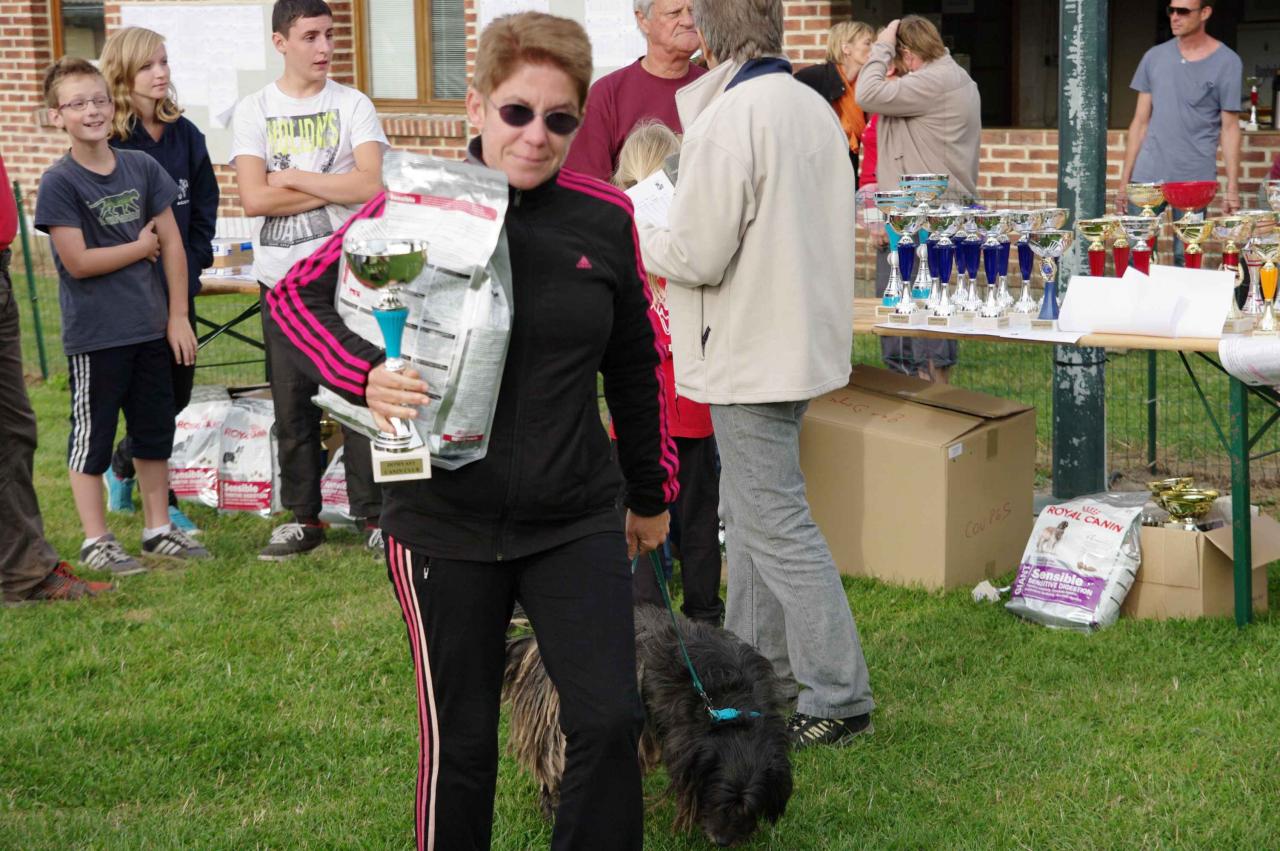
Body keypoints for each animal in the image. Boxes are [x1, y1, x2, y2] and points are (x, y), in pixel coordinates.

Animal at [501, 604, 788, 844]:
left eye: (749, 808)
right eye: (718, 799)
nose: (722, 841)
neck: (731, 705)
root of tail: (532, 645)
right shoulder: (685, 743)